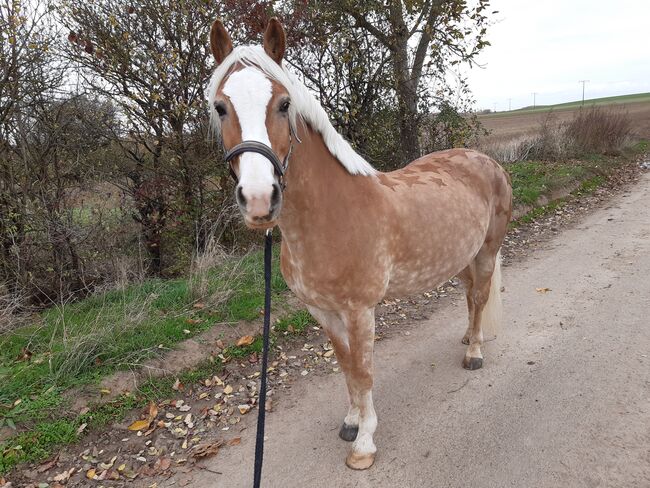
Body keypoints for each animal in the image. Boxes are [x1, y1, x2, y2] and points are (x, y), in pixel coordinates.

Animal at [208, 18, 512, 468]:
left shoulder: (359, 311)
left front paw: (364, 443)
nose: (259, 199)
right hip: (461, 257)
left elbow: (364, 370)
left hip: (487, 252)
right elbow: (346, 366)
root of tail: (485, 160)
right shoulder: (323, 312)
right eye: (220, 107)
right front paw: (351, 422)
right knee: (471, 295)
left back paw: (473, 353)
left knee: (480, 296)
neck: (331, 215)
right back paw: (465, 338)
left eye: (283, 104)